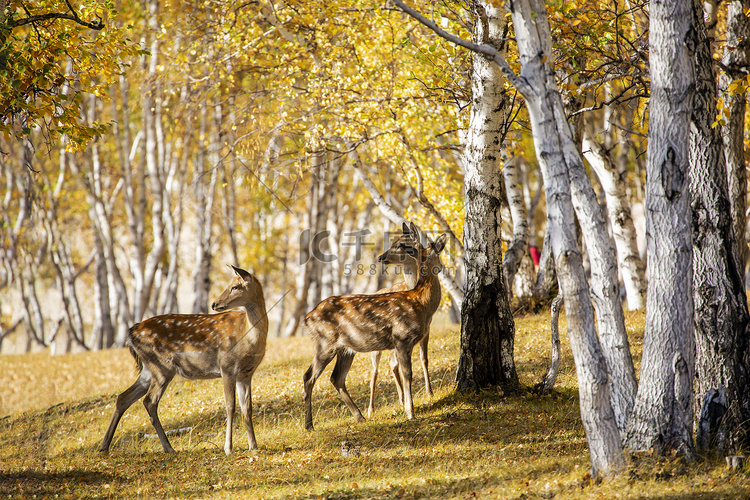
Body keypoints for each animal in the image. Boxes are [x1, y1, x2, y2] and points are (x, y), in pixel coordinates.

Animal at [100, 266, 268, 454]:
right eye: (230, 285)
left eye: (234, 287)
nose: (214, 304)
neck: (248, 336)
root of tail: (131, 333)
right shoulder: (227, 365)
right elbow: (230, 406)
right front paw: (228, 448)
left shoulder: (246, 373)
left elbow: (247, 407)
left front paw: (254, 446)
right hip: (161, 366)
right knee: (149, 401)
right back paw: (168, 447)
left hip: (149, 369)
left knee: (123, 397)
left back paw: (104, 446)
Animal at [304, 223, 446, 430]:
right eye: (439, 252)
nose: (443, 267)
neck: (420, 303)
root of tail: (307, 319)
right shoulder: (402, 337)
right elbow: (407, 373)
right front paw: (410, 412)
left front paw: (410, 408)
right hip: (325, 343)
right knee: (309, 377)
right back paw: (309, 425)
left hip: (346, 349)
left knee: (336, 378)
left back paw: (360, 417)